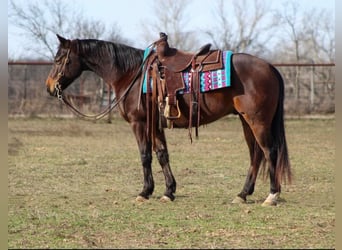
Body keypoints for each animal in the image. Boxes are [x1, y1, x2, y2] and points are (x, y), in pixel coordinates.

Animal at [44, 34, 292, 206]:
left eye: (59, 59)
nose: (49, 87)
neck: (131, 74)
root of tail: (270, 67)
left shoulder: (139, 123)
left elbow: (145, 155)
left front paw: (144, 192)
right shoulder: (155, 124)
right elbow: (162, 154)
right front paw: (168, 192)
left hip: (257, 121)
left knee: (269, 152)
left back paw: (271, 195)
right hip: (245, 120)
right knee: (256, 155)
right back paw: (242, 194)